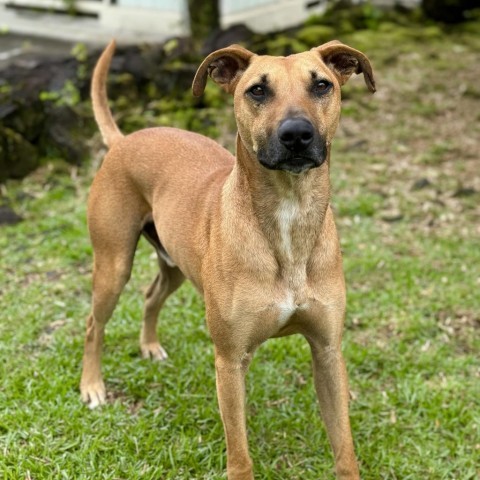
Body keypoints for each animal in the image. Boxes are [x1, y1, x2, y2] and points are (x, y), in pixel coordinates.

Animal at [81, 39, 376, 478]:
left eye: (322, 85)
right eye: (258, 90)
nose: (297, 134)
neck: (288, 215)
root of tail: (123, 140)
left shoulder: (327, 352)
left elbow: (344, 448)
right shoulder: (230, 361)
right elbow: (239, 456)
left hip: (174, 264)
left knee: (152, 295)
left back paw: (149, 346)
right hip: (113, 265)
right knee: (93, 325)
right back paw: (92, 386)